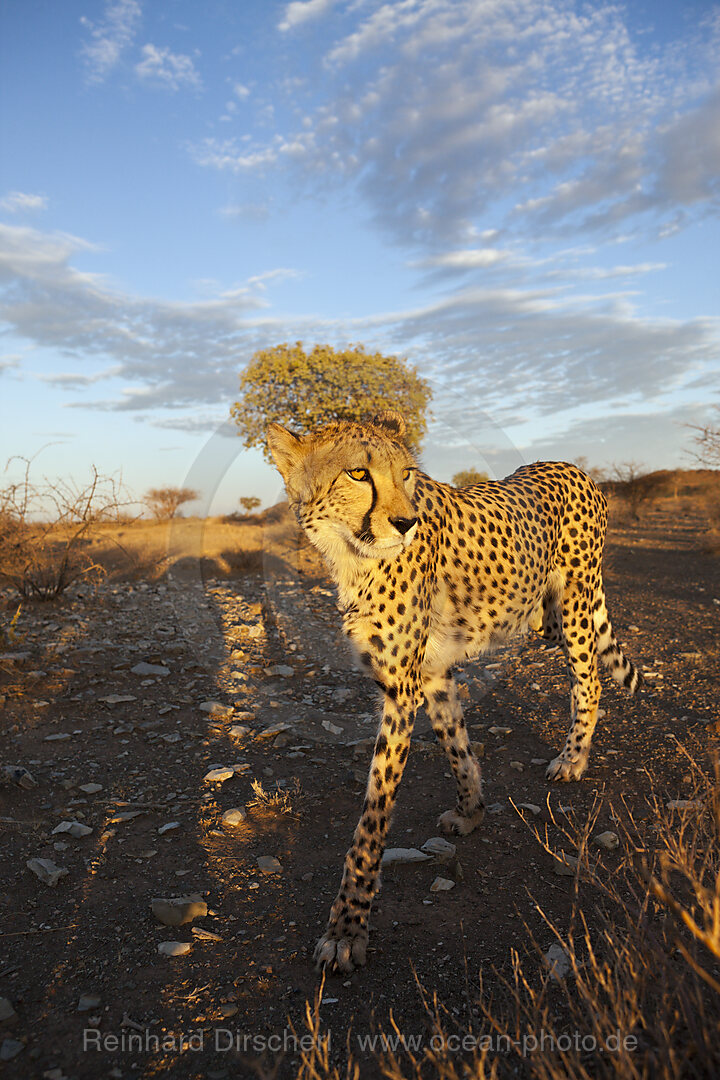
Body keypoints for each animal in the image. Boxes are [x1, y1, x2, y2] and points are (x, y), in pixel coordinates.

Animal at [267, 408, 639, 976]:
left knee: (590, 677)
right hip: (543, 617)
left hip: (572, 605)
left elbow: (371, 822)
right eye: (358, 473)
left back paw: (573, 759)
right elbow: (456, 747)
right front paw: (471, 811)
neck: (351, 556)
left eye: (406, 474)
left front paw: (346, 929)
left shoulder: (400, 691)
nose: (405, 523)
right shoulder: (431, 673)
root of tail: (570, 465)